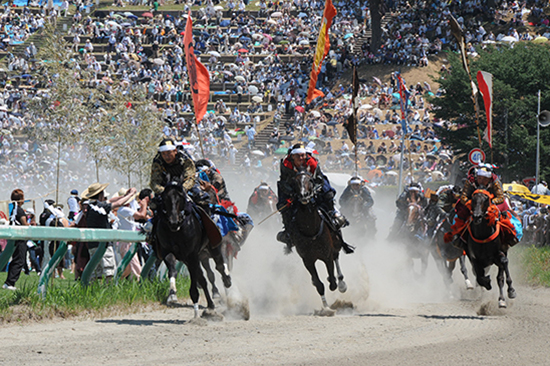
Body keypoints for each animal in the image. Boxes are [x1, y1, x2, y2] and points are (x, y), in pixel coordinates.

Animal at [156, 182, 232, 318]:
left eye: (181, 197)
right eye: (164, 199)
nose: (174, 222)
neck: (177, 231)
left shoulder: (191, 255)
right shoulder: (169, 252)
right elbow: (172, 270)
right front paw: (172, 294)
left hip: (212, 248)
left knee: (219, 266)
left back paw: (227, 281)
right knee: (203, 279)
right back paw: (210, 305)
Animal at [288, 170, 354, 314]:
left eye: (310, 180)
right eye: (294, 181)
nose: (304, 195)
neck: (310, 231)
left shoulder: (326, 255)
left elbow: (332, 282)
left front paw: (336, 283)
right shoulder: (307, 260)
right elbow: (319, 284)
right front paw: (326, 308)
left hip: (336, 243)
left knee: (336, 257)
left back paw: (342, 283)